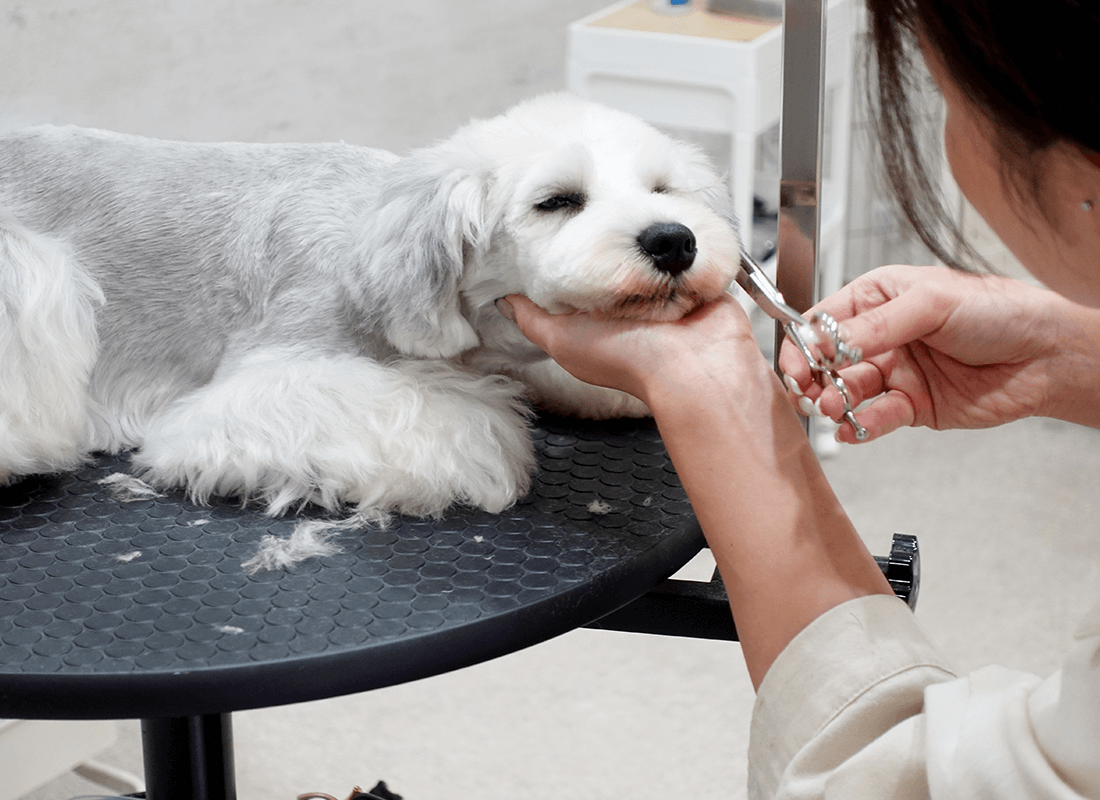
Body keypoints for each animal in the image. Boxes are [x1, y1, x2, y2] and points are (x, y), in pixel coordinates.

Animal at [2, 95, 739, 519]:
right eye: (557, 201)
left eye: (662, 188)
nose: (673, 240)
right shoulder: (260, 388)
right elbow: (460, 420)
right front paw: (493, 445)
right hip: (34, 275)